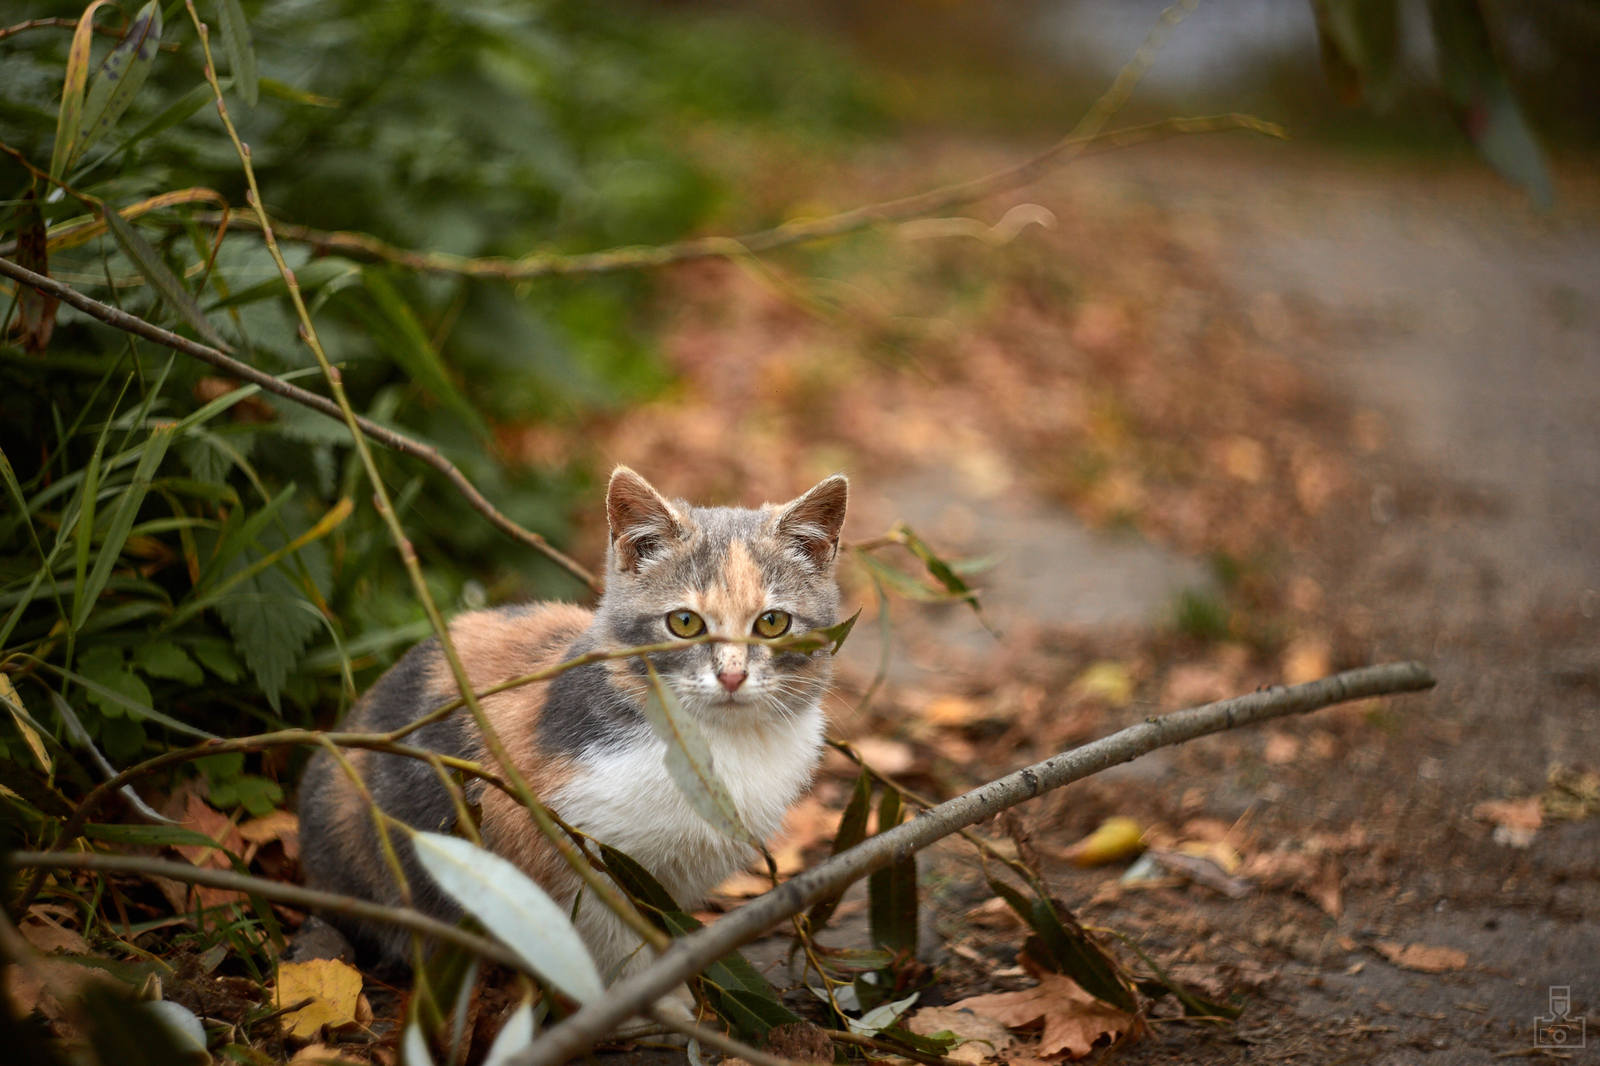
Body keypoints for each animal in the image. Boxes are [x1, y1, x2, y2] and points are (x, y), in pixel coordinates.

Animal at [299, 464, 851, 979]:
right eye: (685, 623)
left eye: (772, 623)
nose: (732, 676)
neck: (718, 743)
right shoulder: (563, 848)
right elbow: (609, 948)